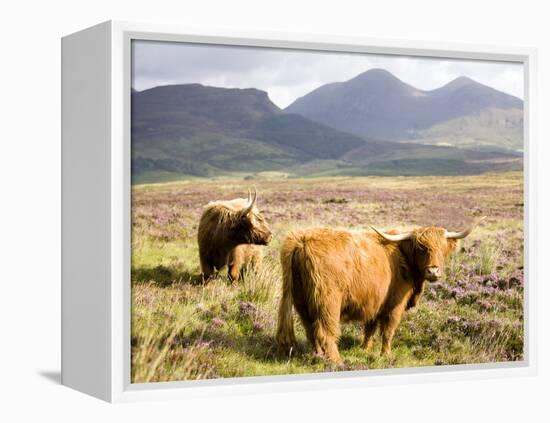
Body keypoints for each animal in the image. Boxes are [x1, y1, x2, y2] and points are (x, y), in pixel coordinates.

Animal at [276, 222, 484, 364]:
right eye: (421, 248)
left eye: (442, 248)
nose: (433, 271)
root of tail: (301, 240)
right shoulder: (395, 305)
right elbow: (388, 331)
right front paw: (386, 354)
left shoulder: (374, 302)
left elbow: (370, 328)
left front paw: (365, 349)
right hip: (328, 302)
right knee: (325, 332)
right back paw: (336, 361)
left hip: (302, 302)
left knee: (311, 330)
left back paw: (319, 357)